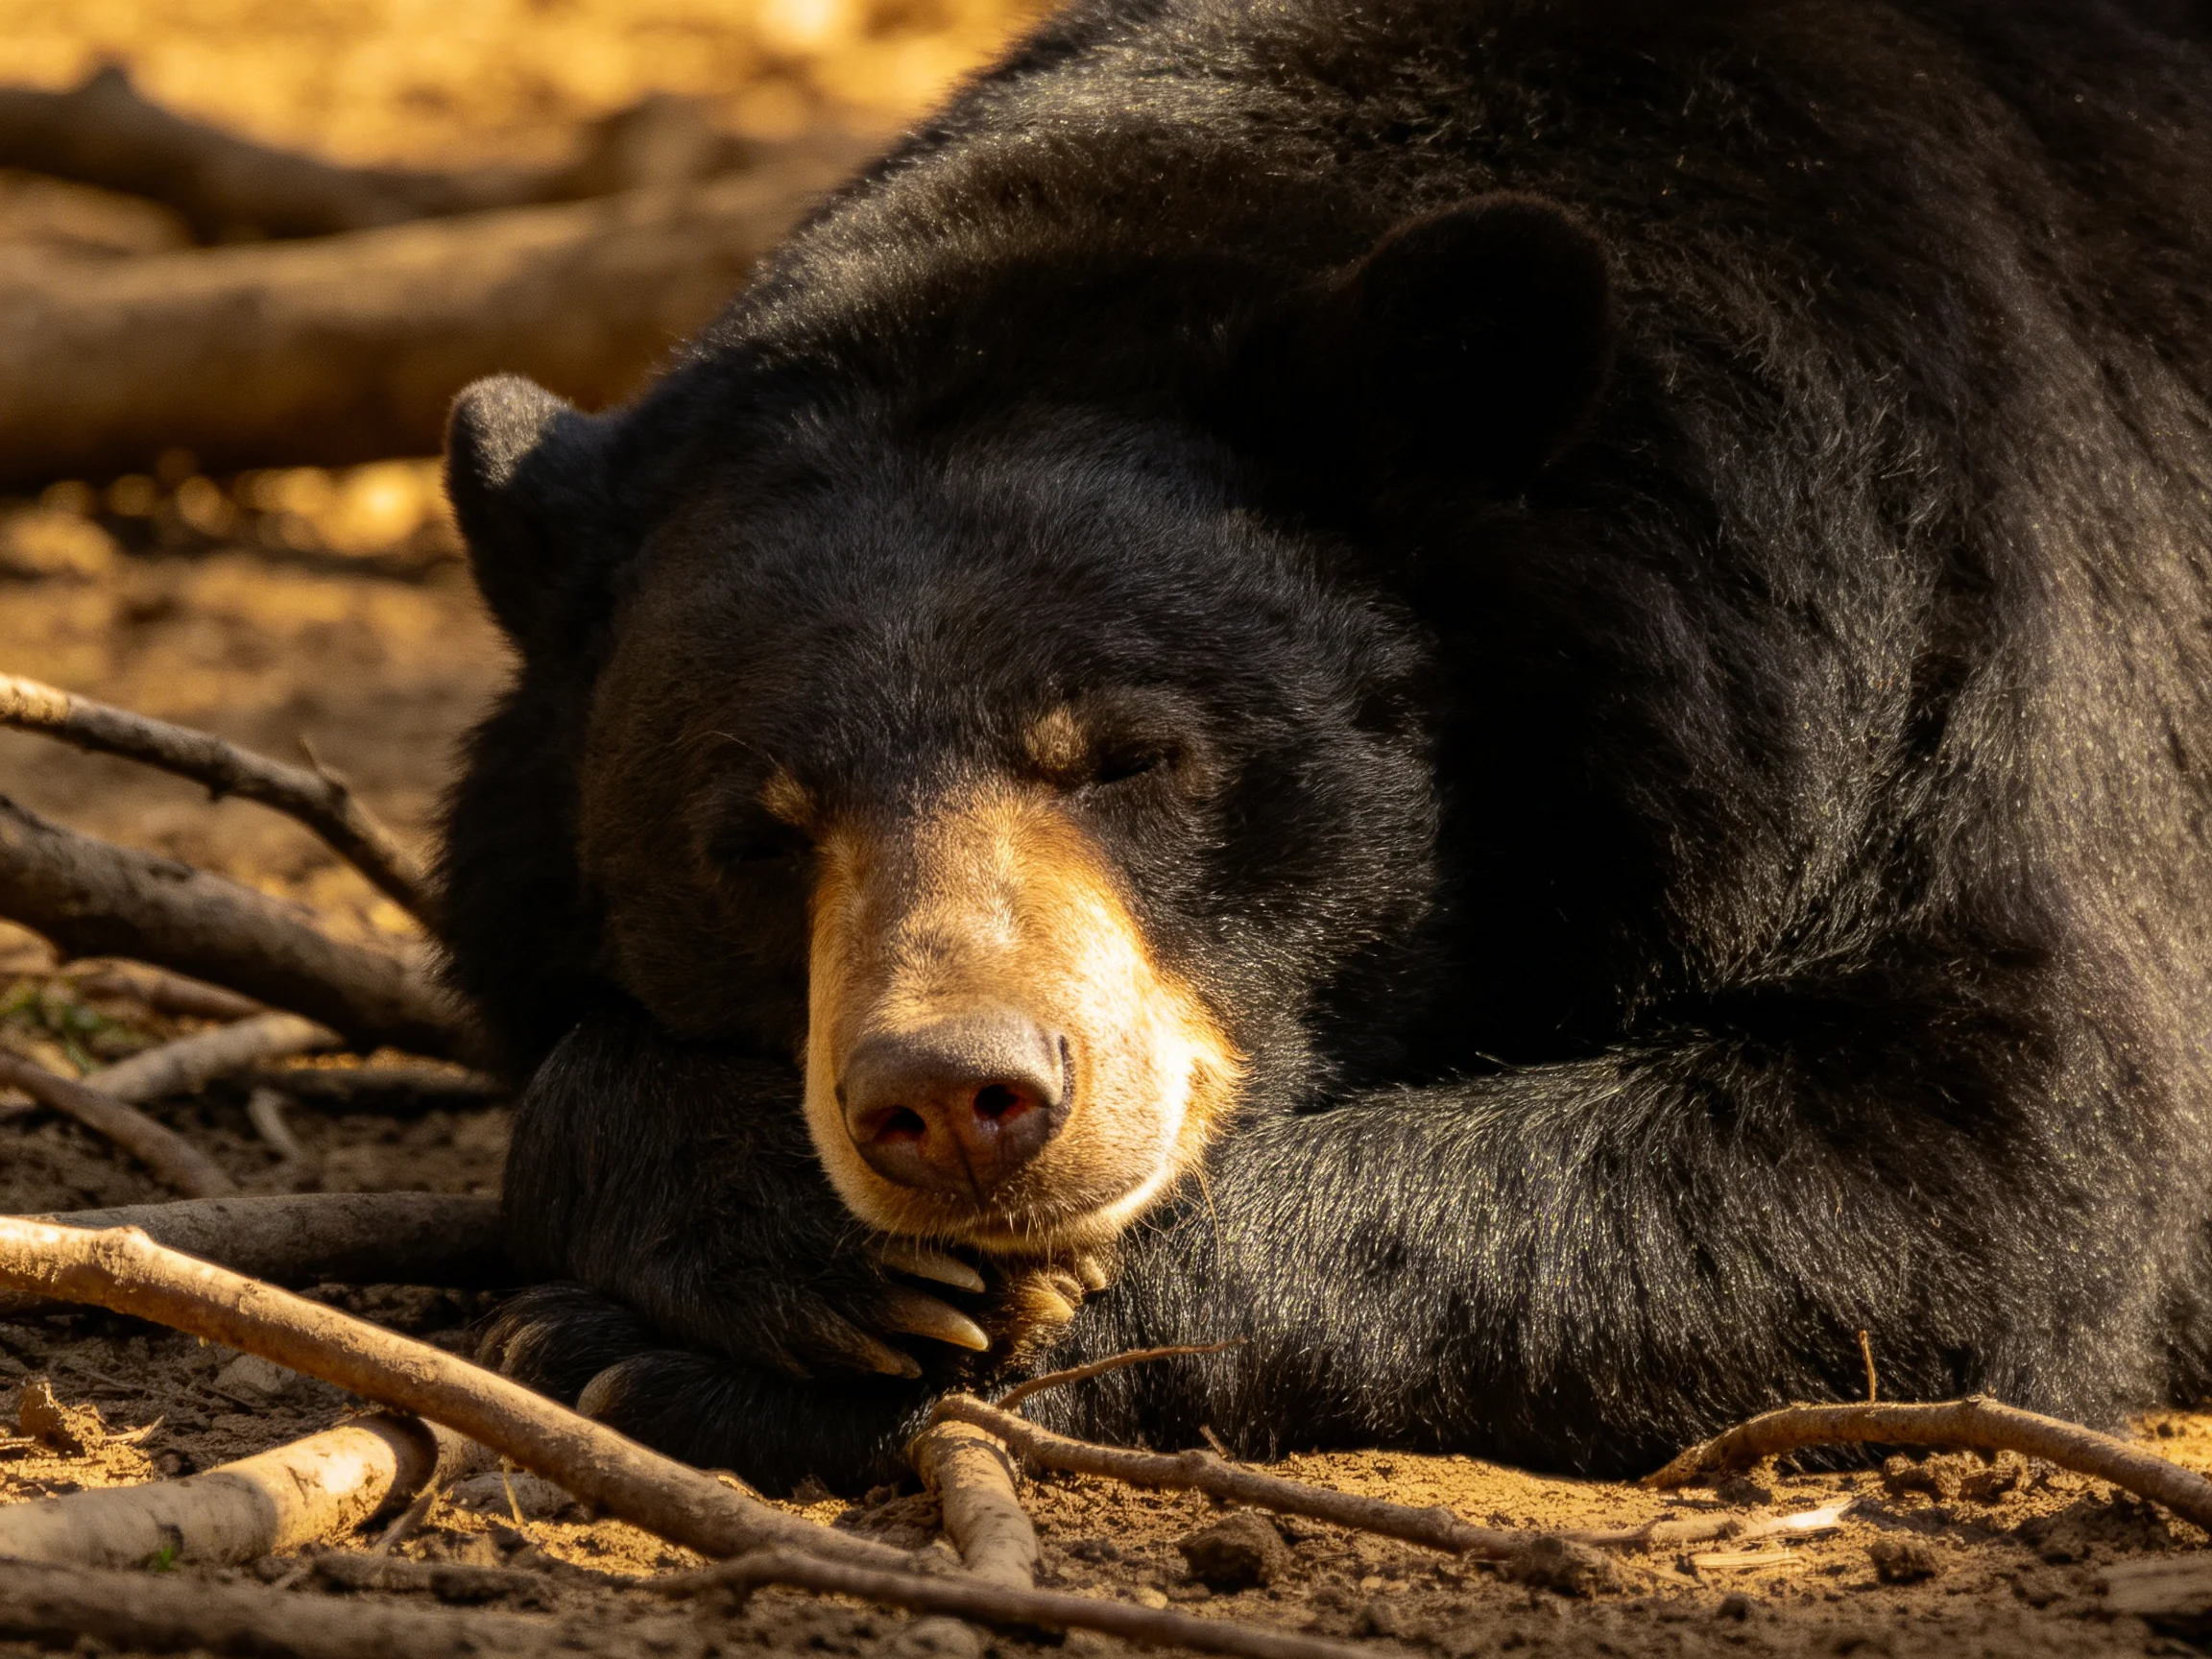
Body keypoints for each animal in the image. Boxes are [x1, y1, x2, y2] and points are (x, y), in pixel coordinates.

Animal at [435, 0, 2212, 1494]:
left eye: (1127, 755)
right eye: (756, 832)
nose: (955, 1098)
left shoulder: (1898, 632)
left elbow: (1984, 1152)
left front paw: (647, 1359)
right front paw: (781, 1238)